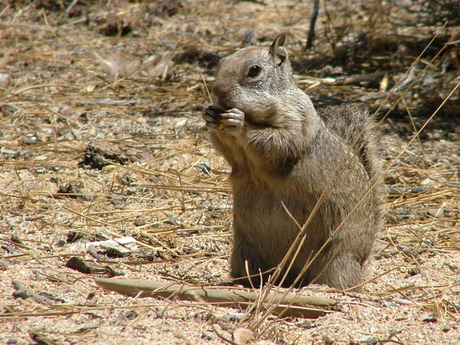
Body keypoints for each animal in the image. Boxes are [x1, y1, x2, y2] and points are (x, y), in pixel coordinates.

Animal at [202, 31, 384, 288]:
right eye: (222, 62)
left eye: (254, 70)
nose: (218, 91)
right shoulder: (237, 156)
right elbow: (229, 152)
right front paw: (208, 113)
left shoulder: (297, 122)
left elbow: (278, 142)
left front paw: (239, 121)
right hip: (243, 253)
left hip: (336, 257)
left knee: (341, 280)